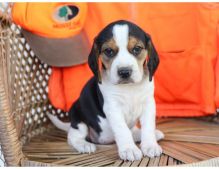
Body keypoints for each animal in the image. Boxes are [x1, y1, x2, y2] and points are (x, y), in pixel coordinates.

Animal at [48, 19, 164, 161]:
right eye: (108, 51)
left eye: (137, 49)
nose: (124, 72)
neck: (129, 88)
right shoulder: (112, 108)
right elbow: (122, 129)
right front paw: (129, 149)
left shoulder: (148, 104)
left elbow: (148, 127)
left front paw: (150, 146)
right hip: (78, 118)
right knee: (72, 137)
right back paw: (84, 145)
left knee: (133, 131)